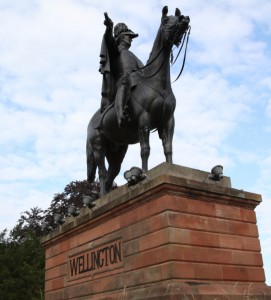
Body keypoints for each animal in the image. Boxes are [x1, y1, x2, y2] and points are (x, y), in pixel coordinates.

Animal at [87, 7, 191, 196]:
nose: (184, 19)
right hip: (98, 147)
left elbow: (168, 147)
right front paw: (145, 175)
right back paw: (102, 197)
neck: (158, 84)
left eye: (177, 16)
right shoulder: (144, 120)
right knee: (103, 173)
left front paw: (171, 167)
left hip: (117, 150)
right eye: (166, 20)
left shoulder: (168, 121)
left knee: (112, 172)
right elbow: (145, 149)